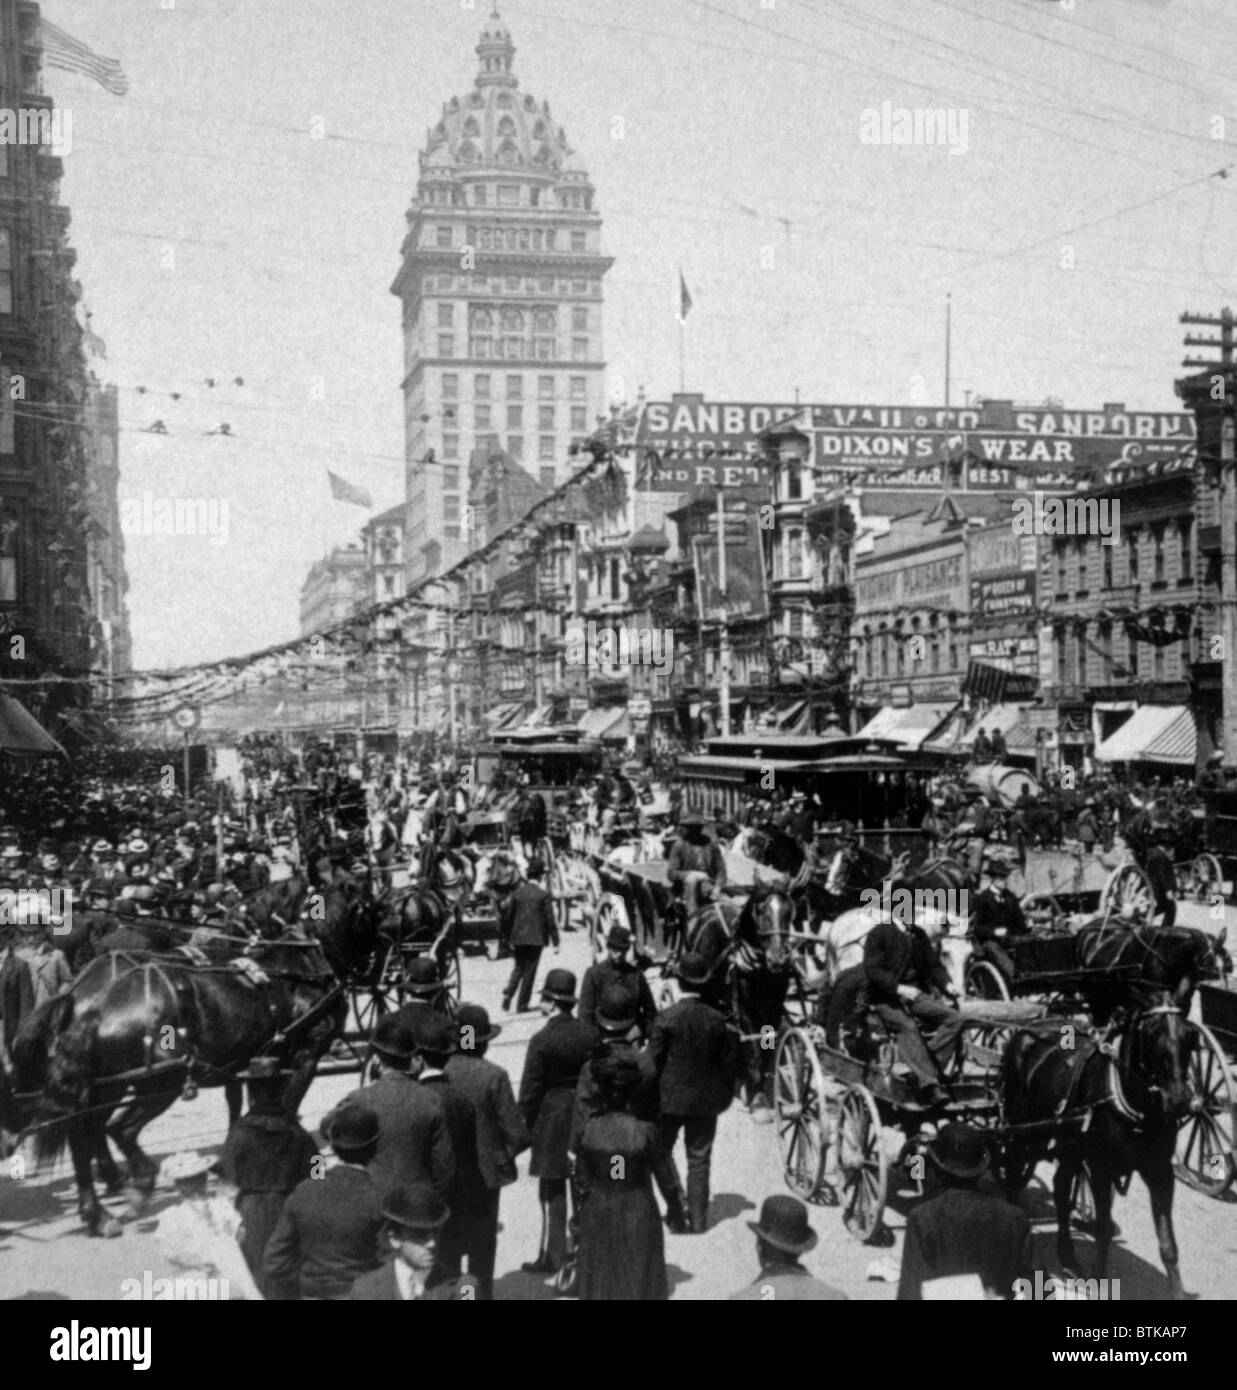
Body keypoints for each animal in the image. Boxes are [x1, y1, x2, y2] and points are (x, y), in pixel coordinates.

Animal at [2, 884, 372, 1234]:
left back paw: (99, 1209)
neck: (301, 969)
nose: (374, 967)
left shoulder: (249, 1061)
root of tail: (84, 1003)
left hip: (107, 1085)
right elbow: (284, 1109)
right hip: (159, 1082)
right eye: (374, 908)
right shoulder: (303, 1059)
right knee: (117, 1129)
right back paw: (135, 1184)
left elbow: (246, 1107)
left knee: (86, 1133)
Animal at [1000, 995, 1195, 1295]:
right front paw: (1099, 1279)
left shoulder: (1161, 1172)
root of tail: (1026, 1029)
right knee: (1012, 1168)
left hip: (1069, 1144)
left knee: (1060, 1187)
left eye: (1189, 1036)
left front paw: (1178, 1291)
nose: (1180, 1100)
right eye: (1151, 1034)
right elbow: (1102, 1229)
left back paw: (1067, 1255)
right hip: (1021, 1128)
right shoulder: (1101, 1168)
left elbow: (1168, 1244)